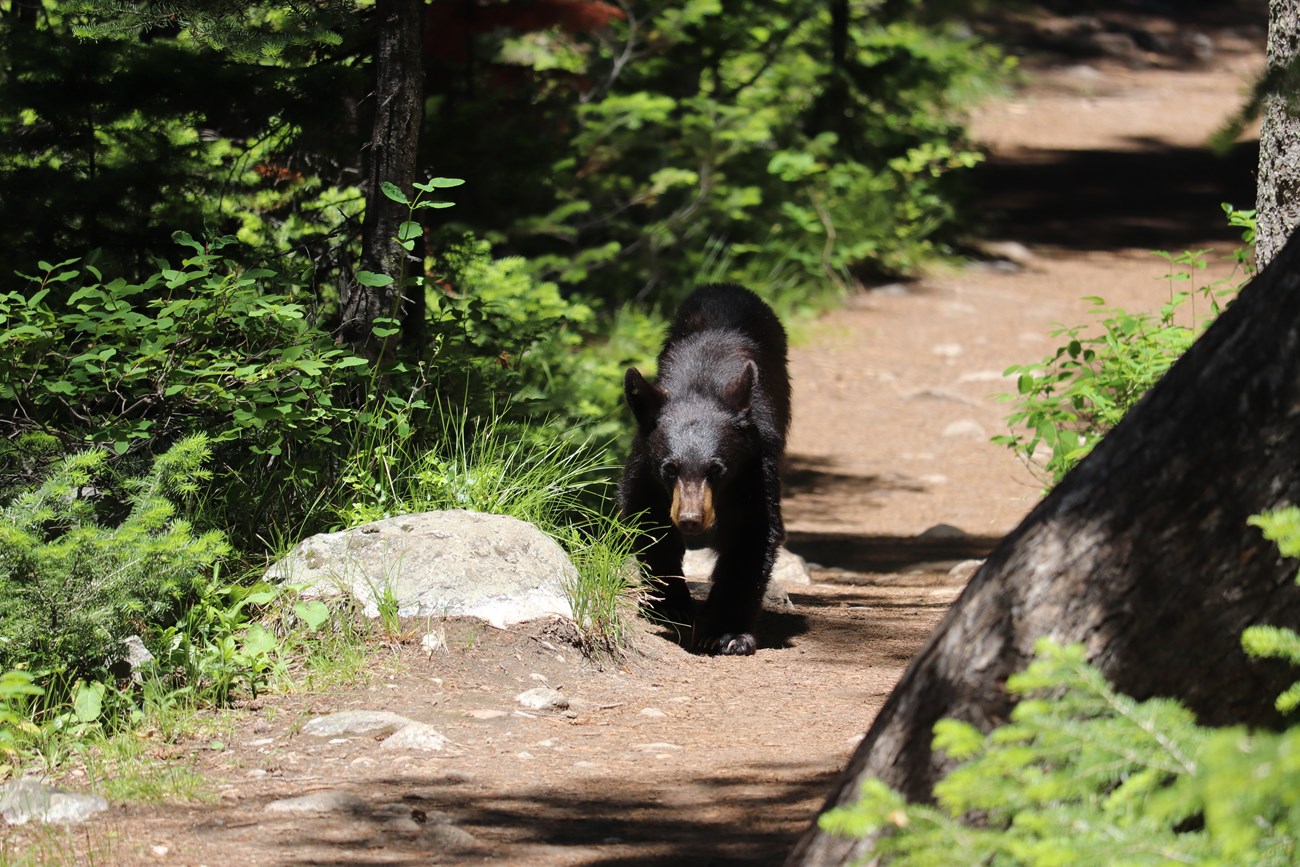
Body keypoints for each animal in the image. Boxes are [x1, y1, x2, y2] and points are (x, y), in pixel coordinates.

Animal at [618, 282, 790, 655]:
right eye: (670, 468)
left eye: (717, 469)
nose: (691, 520)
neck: (703, 386)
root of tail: (728, 287)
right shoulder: (645, 461)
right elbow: (646, 514)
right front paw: (672, 604)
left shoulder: (755, 462)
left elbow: (753, 530)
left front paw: (728, 632)